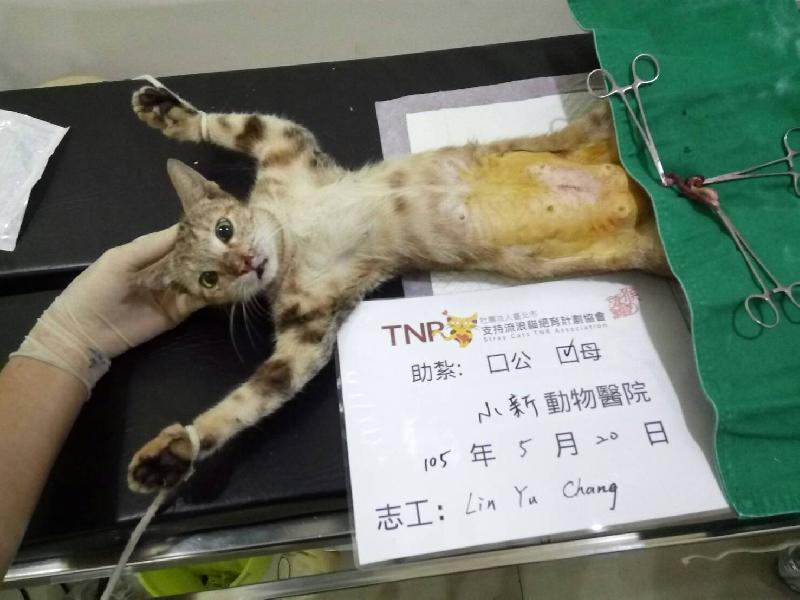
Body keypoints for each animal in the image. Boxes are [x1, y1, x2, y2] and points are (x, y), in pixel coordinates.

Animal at [127, 85, 668, 492]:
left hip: (605, 129)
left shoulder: (286, 146)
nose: (244, 263)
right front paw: (178, 450)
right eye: (209, 280)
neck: (291, 235)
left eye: (224, 229)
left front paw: (171, 113)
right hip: (647, 249)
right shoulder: (308, 327)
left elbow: (239, 125)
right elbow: (261, 392)